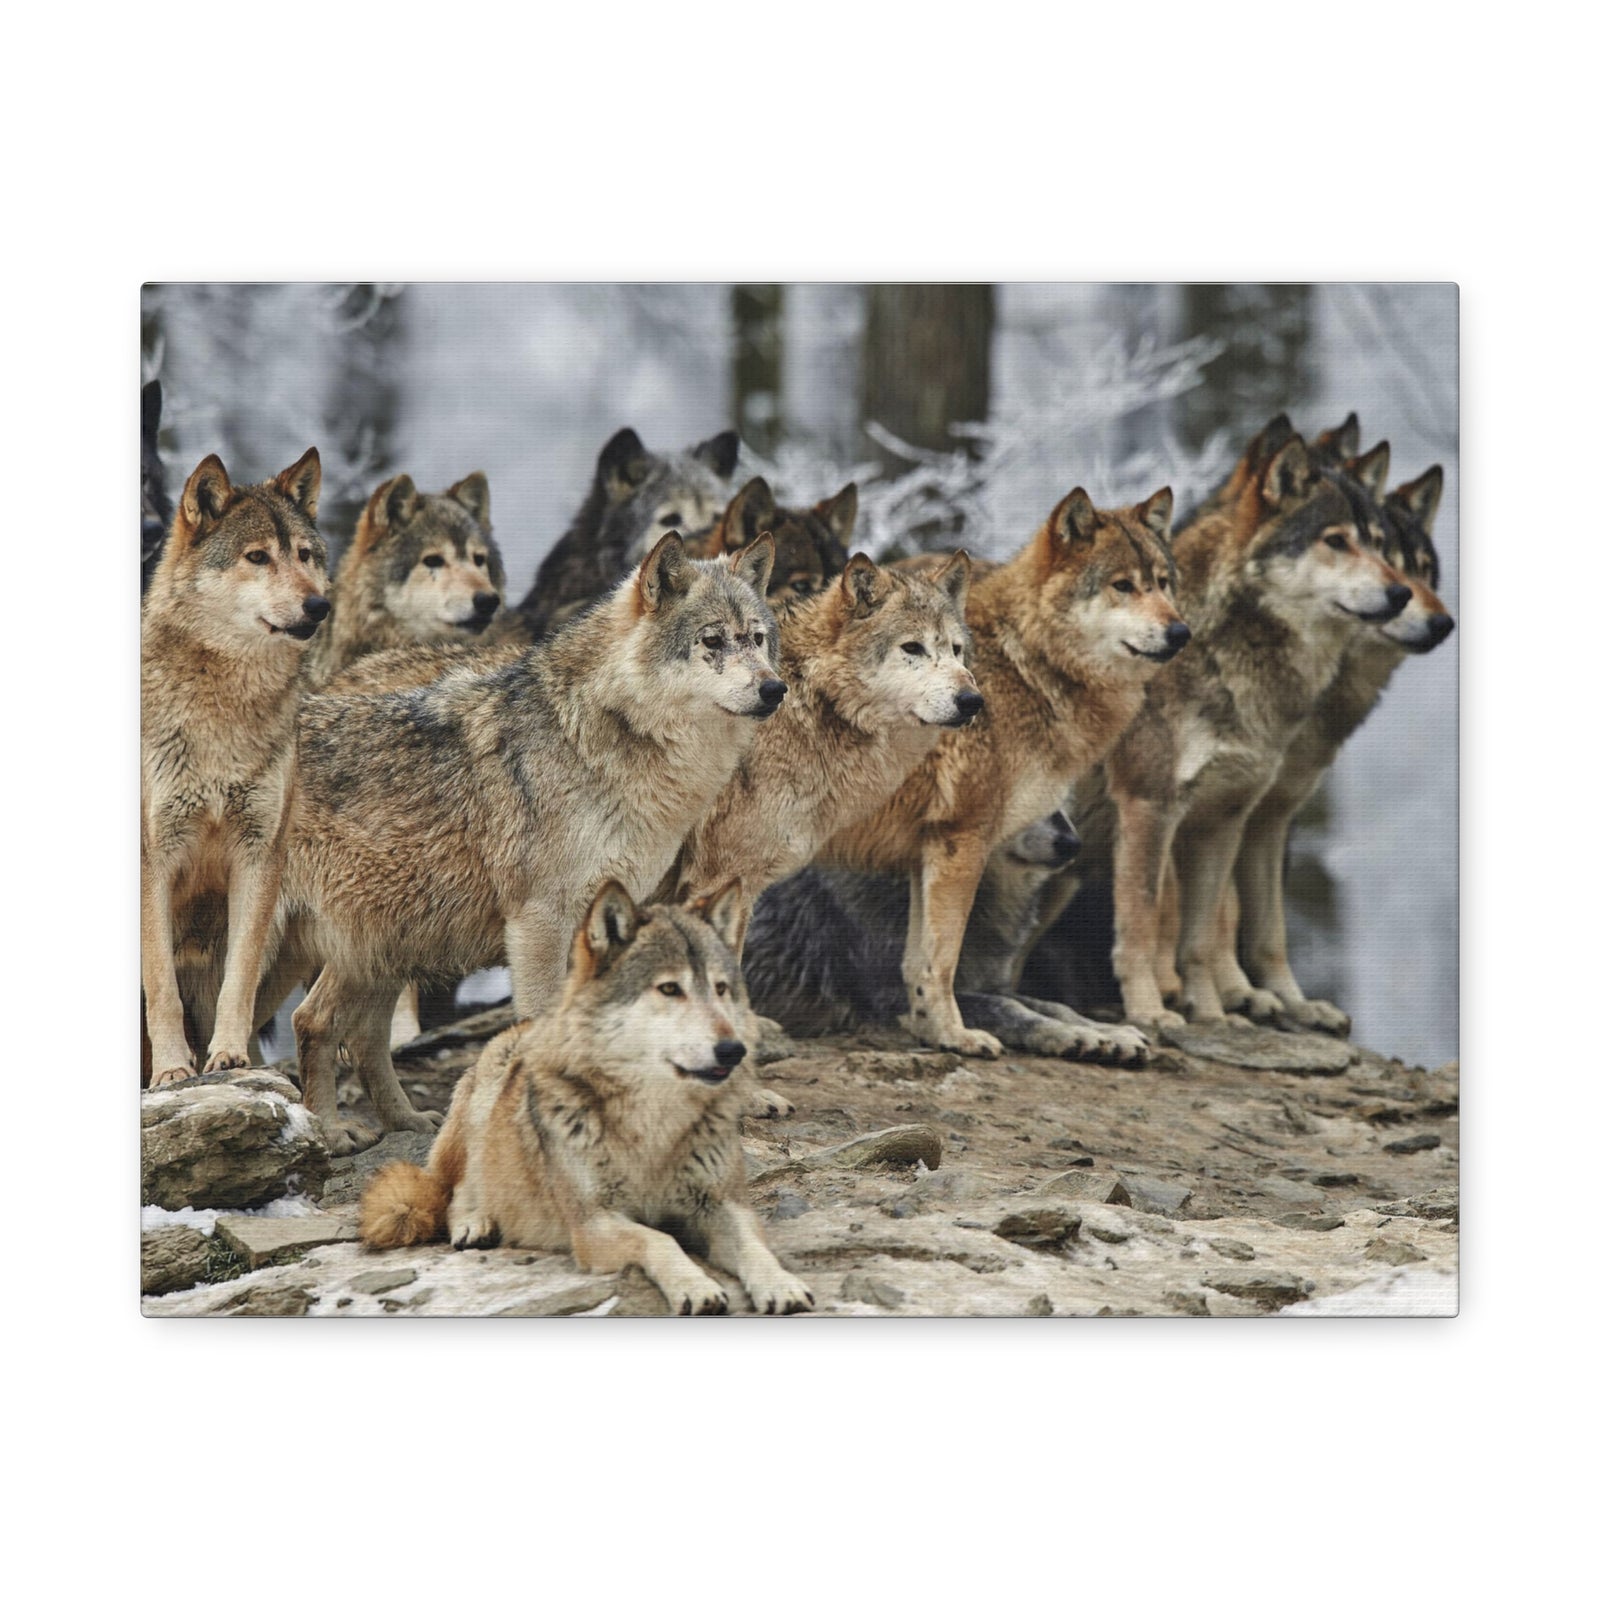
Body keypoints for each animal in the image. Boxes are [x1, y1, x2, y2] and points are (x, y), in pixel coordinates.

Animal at [141, 448, 329, 1086]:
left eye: (305, 555)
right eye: (257, 557)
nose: (320, 604)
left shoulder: (259, 855)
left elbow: (237, 981)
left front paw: (227, 1057)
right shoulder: (153, 860)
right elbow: (161, 990)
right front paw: (174, 1072)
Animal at [277, 530, 783, 1152]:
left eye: (757, 639)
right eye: (712, 640)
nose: (775, 688)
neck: (601, 736)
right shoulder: (539, 920)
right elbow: (541, 1020)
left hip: (387, 940)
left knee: (345, 1028)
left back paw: (406, 1122)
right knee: (311, 1021)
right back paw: (327, 1131)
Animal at [359, 881, 814, 1315]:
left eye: (720, 989)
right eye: (670, 989)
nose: (733, 1050)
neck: (654, 1124)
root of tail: (521, 1026)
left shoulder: (722, 1206)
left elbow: (755, 1248)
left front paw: (781, 1285)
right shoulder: (593, 1224)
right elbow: (660, 1240)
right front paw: (697, 1287)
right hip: (483, 1103)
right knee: (454, 1191)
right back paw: (475, 1223)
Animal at [815, 486, 1189, 1058]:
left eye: (1163, 583)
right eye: (1123, 586)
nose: (1180, 632)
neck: (1028, 665)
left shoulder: (930, 848)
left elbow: (924, 963)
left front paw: (933, 1033)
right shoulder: (963, 839)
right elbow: (944, 961)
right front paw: (956, 1035)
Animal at [1101, 417, 1415, 1031]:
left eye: (1380, 544)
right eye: (1336, 540)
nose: (1401, 593)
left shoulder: (1238, 816)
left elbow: (1218, 935)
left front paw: (1219, 1014)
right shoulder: (1150, 807)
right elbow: (1144, 925)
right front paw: (1150, 1011)